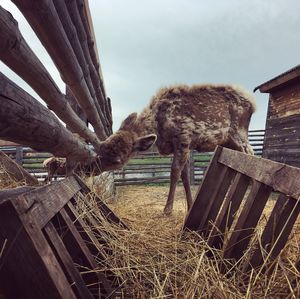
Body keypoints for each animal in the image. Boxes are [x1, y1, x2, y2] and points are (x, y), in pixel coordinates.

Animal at [99, 84, 255, 216]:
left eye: (118, 159)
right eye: (102, 146)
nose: (93, 167)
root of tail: (253, 105)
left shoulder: (183, 138)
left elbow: (174, 172)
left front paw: (167, 209)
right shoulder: (179, 146)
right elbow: (184, 176)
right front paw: (190, 205)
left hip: (238, 134)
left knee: (252, 156)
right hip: (229, 142)